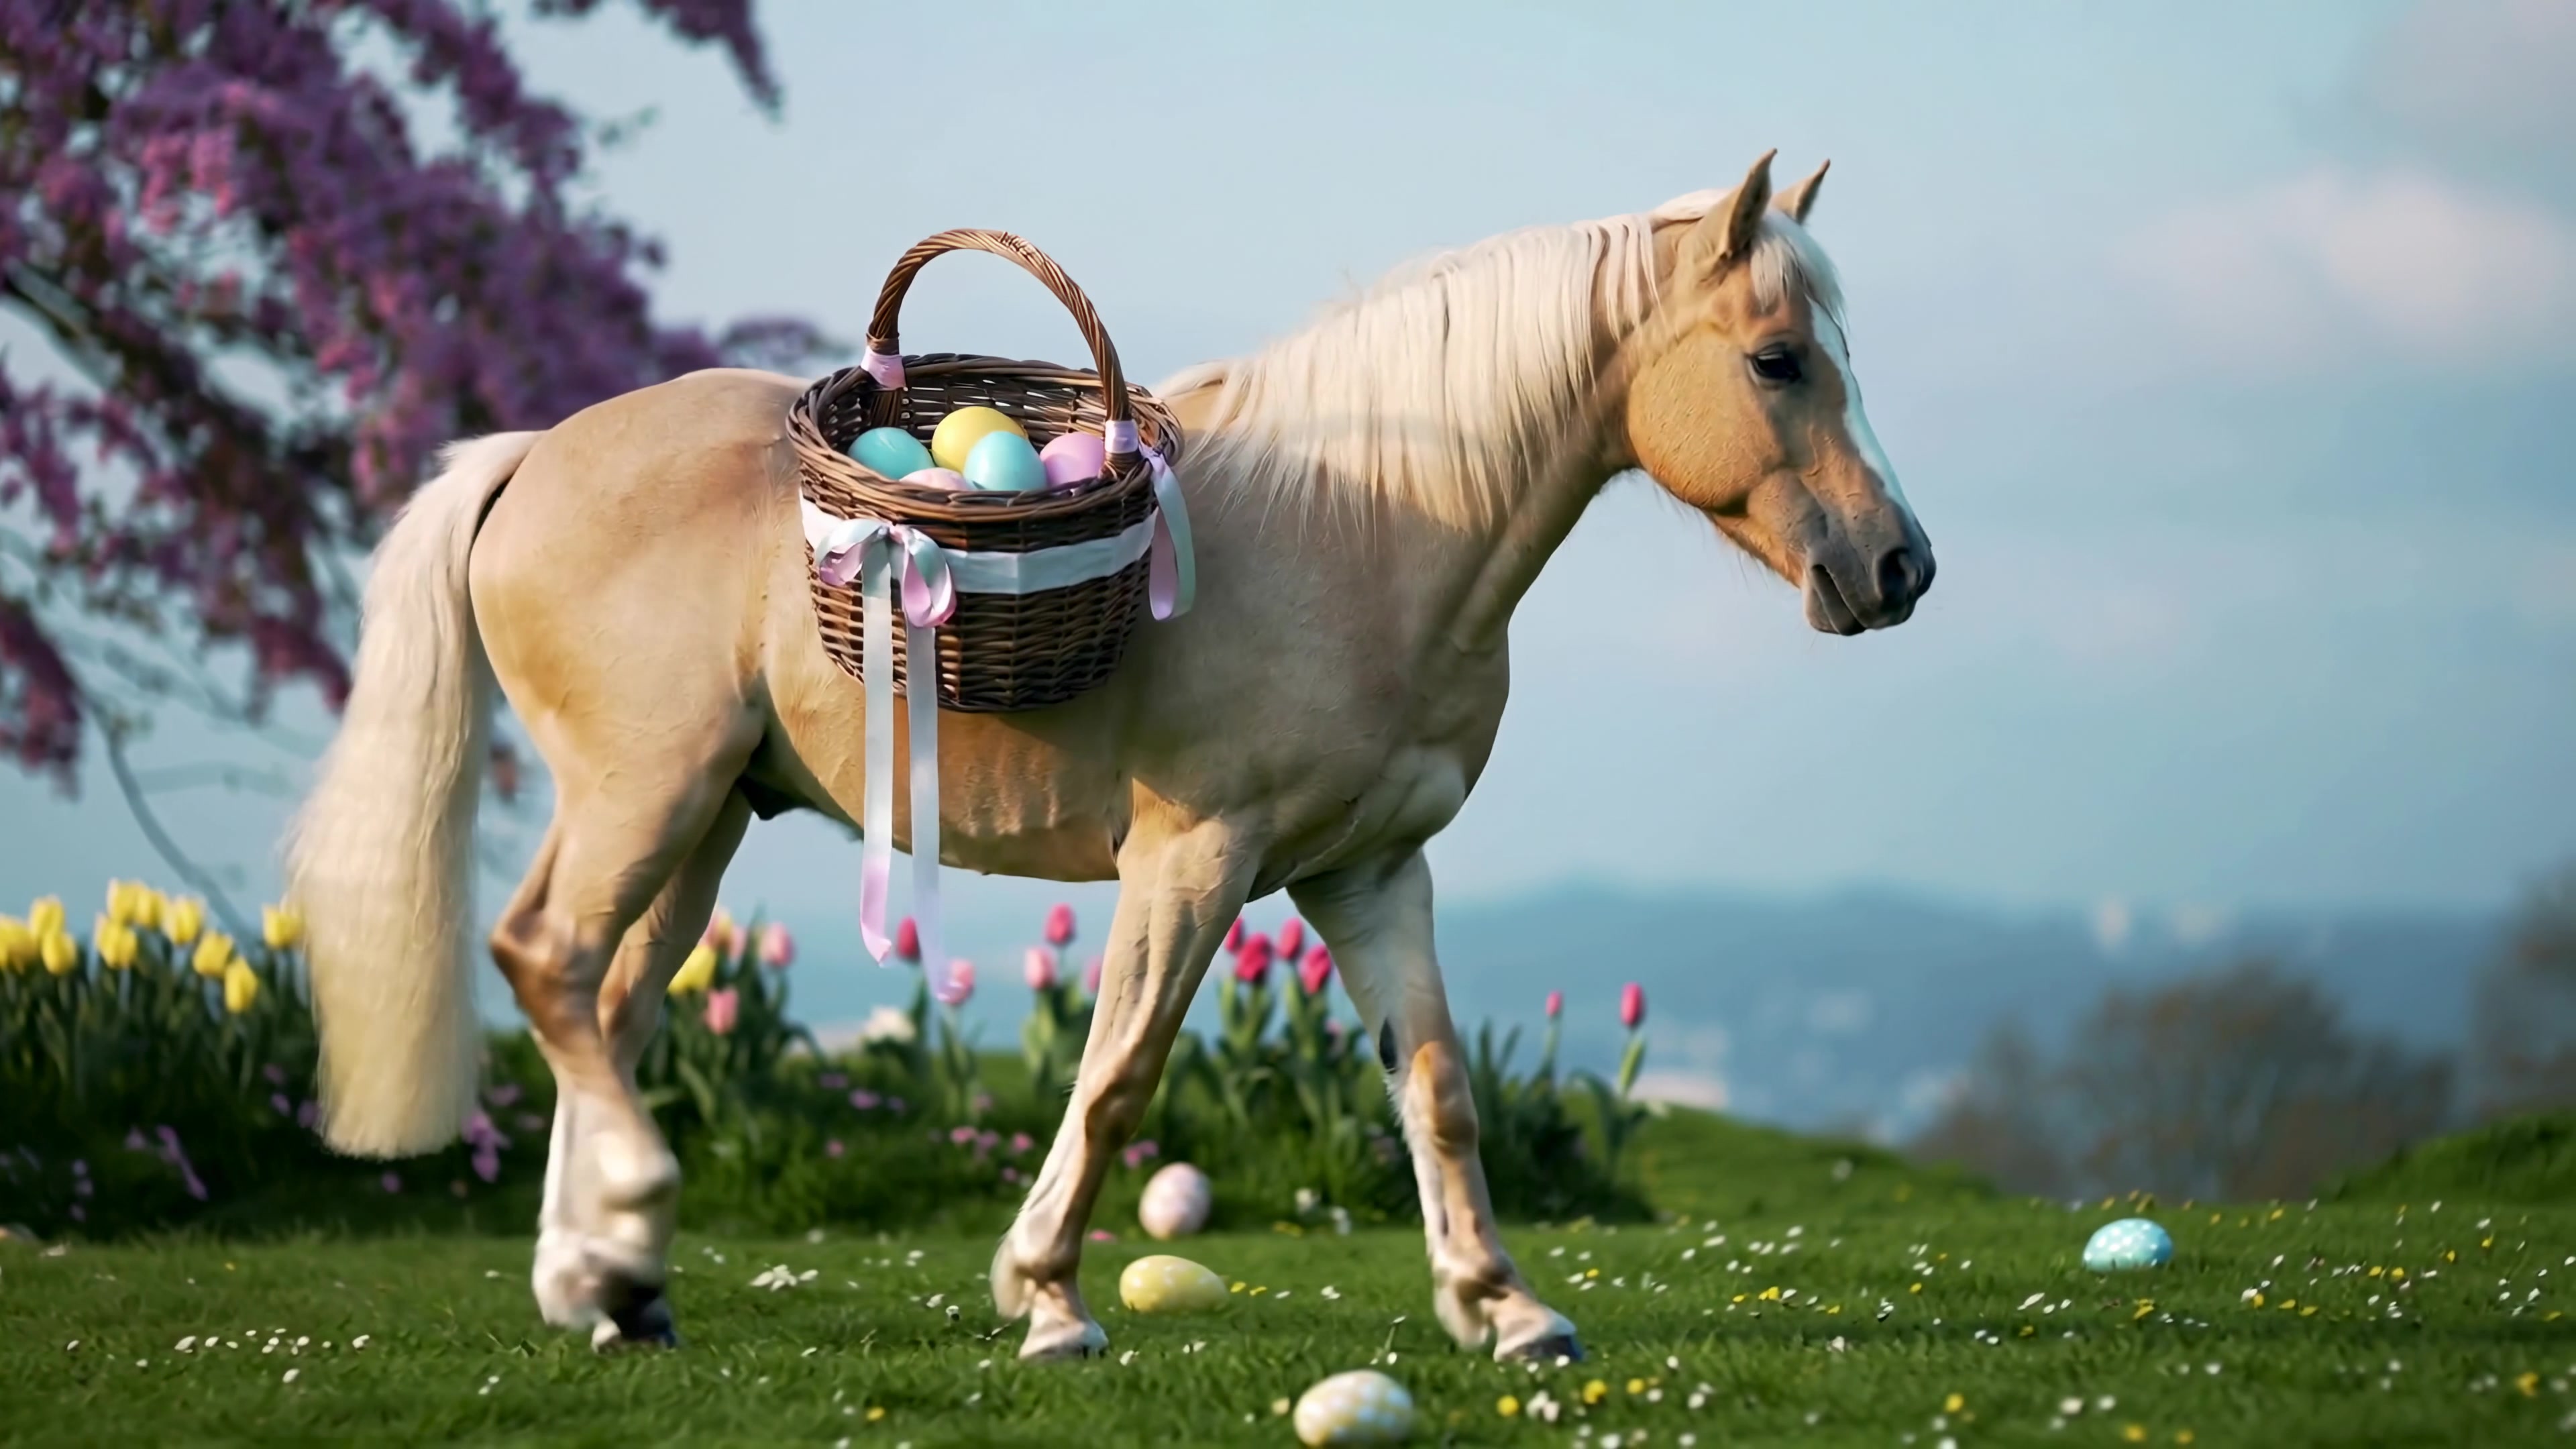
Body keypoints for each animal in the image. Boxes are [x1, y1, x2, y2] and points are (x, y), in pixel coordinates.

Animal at [285, 148, 1933, 1362]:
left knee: (609, 1005)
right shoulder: (1194, 866)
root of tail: (525, 458)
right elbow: (1120, 1072)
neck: (1373, 534)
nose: (1900, 566)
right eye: (1779, 360)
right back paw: (624, 1230)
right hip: (648, 798)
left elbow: (1439, 1086)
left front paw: (1504, 1308)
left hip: (707, 824)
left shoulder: (1373, 874)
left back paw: (613, 1287)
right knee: (546, 961)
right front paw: (1048, 1298)